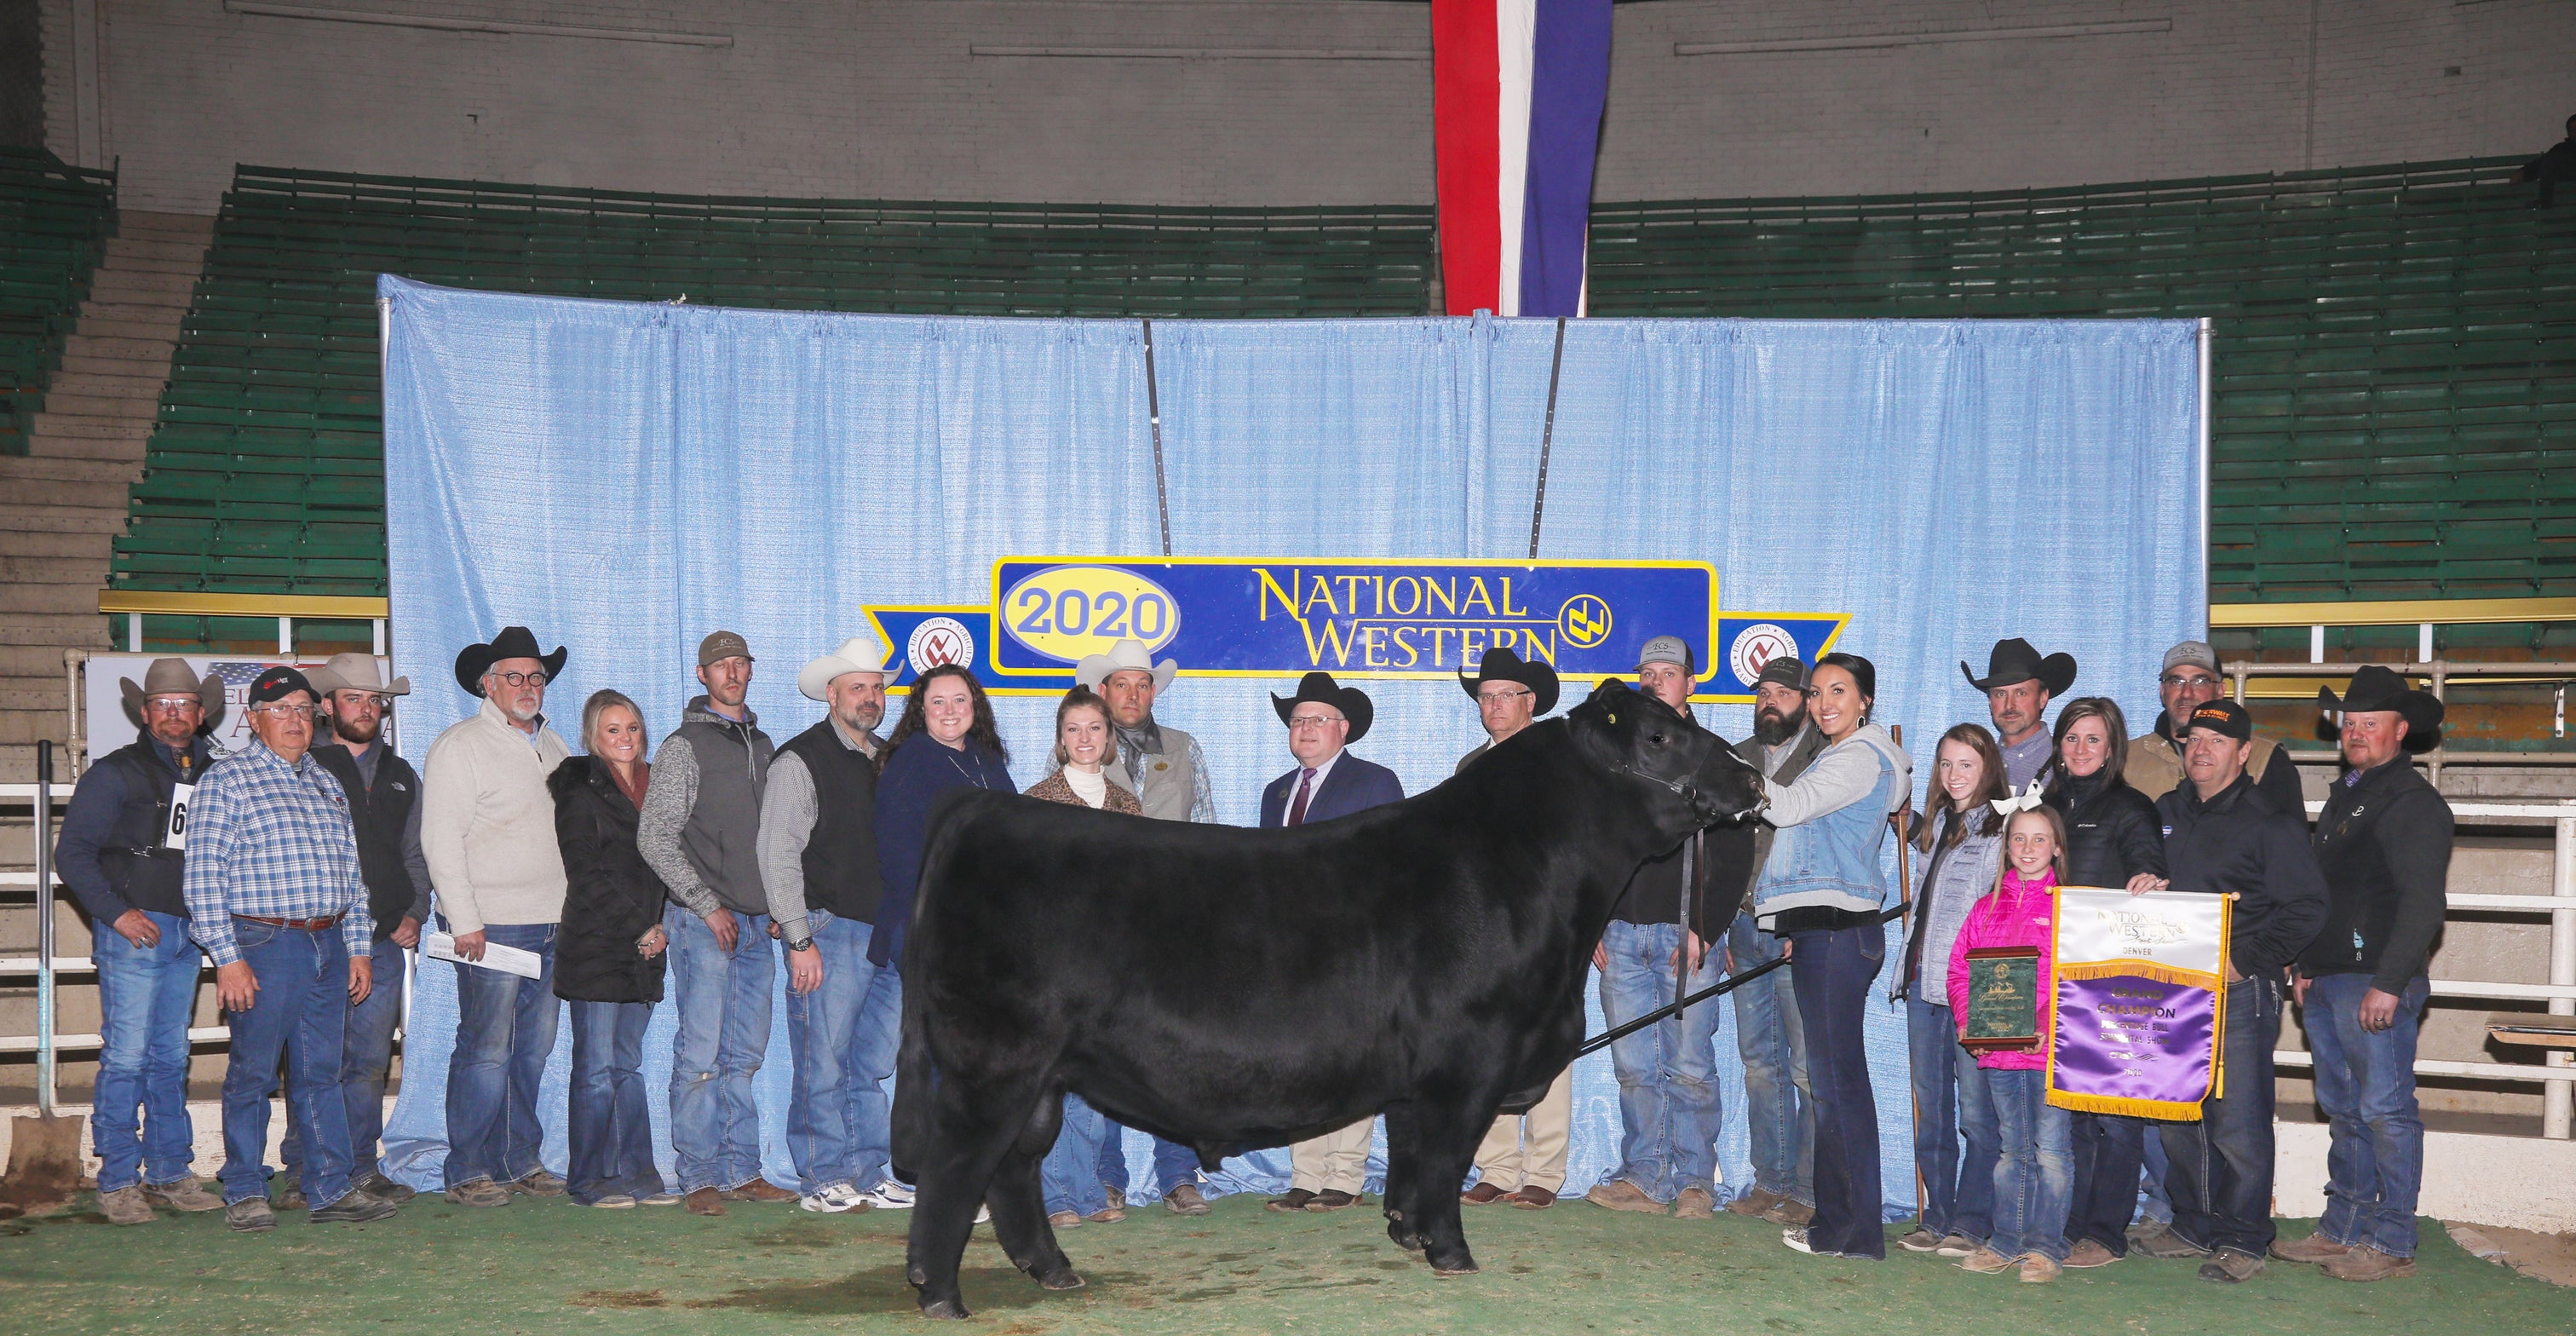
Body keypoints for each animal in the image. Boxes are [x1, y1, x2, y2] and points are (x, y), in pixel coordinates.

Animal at [889, 680, 1767, 1319]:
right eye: (1659, 737)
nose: (1751, 775)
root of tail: (985, 807)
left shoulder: (1422, 1076)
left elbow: (1411, 1156)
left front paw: (1407, 1235)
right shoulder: (1469, 1060)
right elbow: (1445, 1159)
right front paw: (1452, 1254)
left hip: (1040, 1075)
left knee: (1012, 1171)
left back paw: (1054, 1272)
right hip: (993, 1063)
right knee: (957, 1168)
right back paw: (940, 1294)